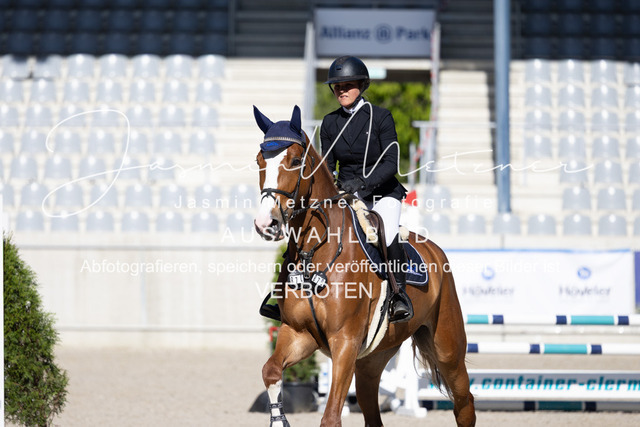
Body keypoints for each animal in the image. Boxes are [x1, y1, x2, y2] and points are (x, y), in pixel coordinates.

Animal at [253, 105, 475, 427]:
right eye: (260, 161)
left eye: (295, 161)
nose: (265, 224)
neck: (314, 253)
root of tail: (434, 249)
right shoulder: (299, 334)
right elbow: (270, 371)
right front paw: (278, 418)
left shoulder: (345, 341)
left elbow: (331, 417)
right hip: (373, 358)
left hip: (448, 348)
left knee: (464, 400)